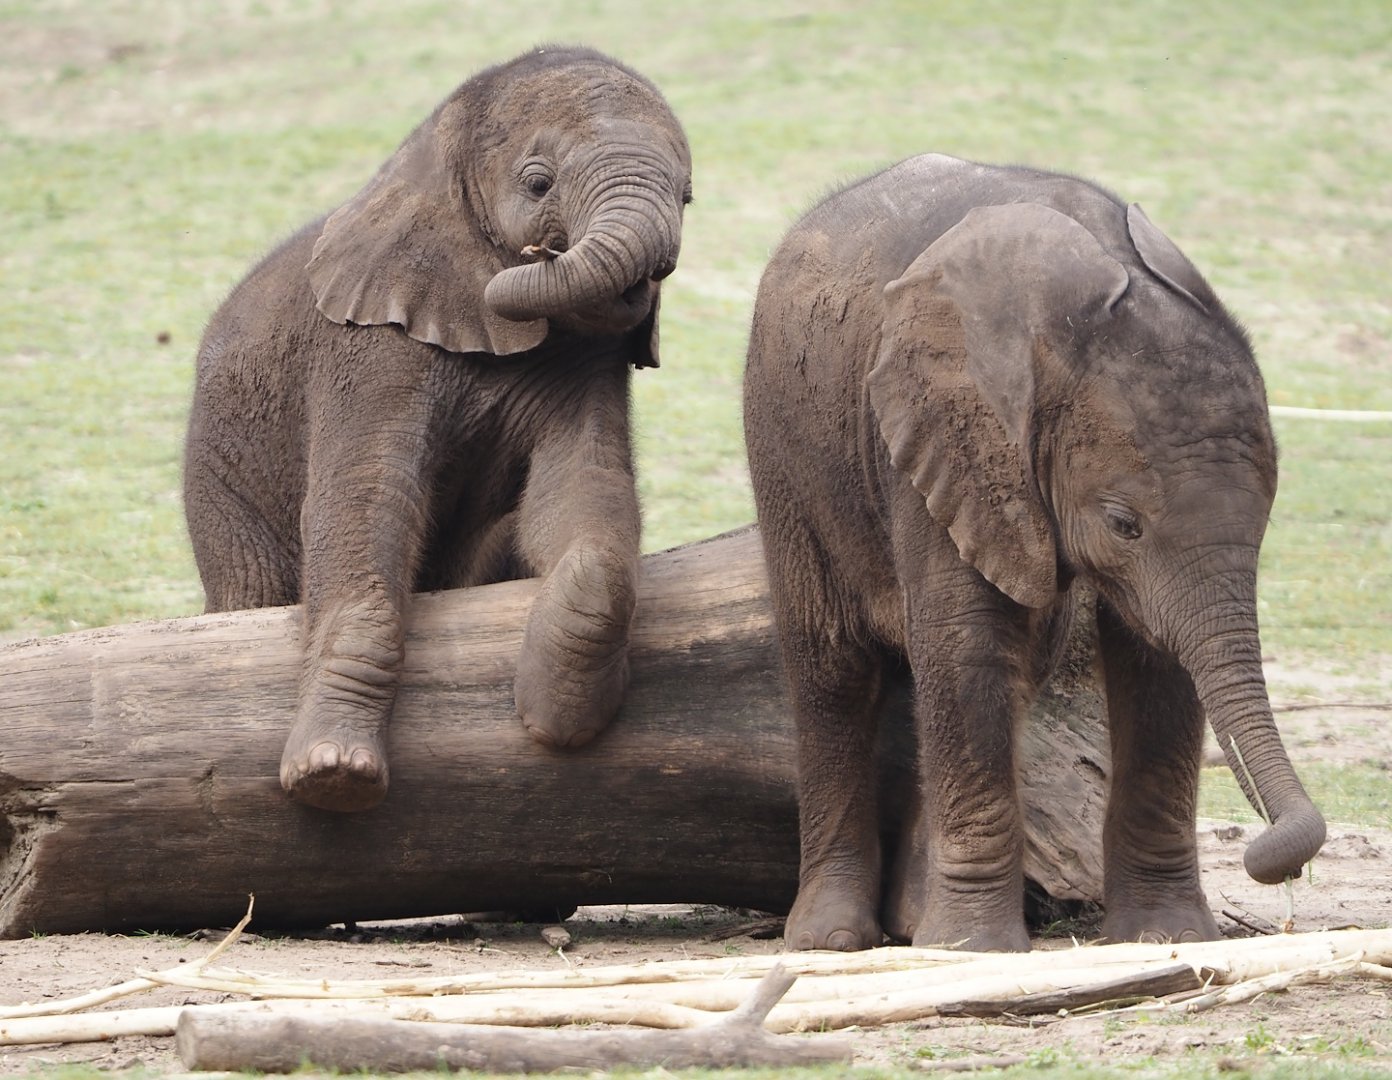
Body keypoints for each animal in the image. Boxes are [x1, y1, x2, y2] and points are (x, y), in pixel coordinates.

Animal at [183, 46, 693, 813]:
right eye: (537, 183)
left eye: (687, 197)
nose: (540, 256)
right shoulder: (364, 344)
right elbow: (365, 503)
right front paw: (334, 774)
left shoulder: (591, 360)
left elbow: (583, 487)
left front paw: (557, 720)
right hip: (218, 491)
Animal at [742, 153, 1326, 952]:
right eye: (1122, 523)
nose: (1272, 857)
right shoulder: (946, 435)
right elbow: (969, 644)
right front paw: (974, 951)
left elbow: (1156, 660)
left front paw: (1164, 937)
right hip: (784, 442)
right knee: (832, 669)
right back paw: (833, 939)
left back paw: (912, 925)